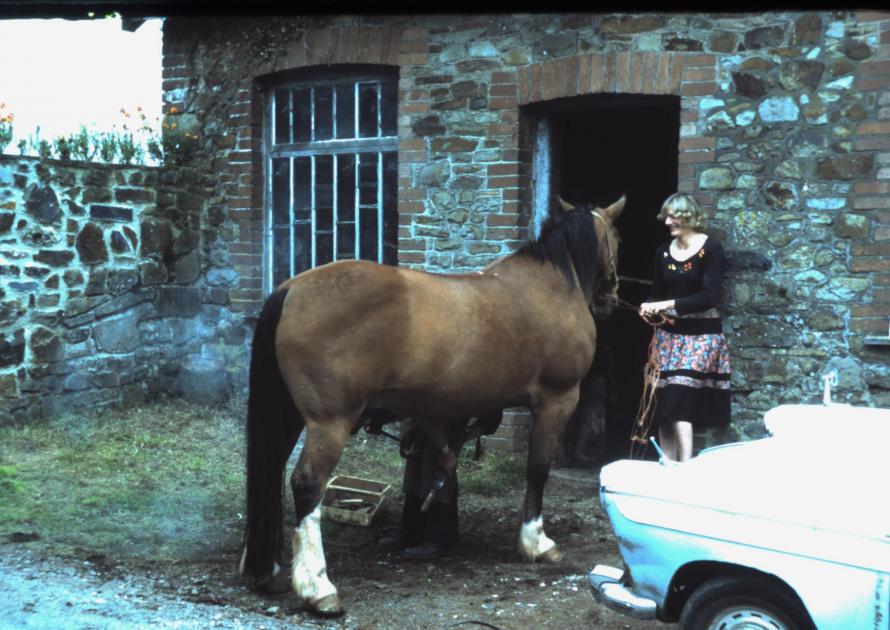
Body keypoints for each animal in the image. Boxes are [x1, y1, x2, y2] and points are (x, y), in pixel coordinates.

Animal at [239, 196, 620, 616]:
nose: (611, 295)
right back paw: (318, 588)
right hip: (330, 422)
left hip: (289, 416)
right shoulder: (558, 400)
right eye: (617, 238)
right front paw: (536, 542)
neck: (551, 286)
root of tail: (290, 289)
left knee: (272, 471)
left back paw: (268, 571)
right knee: (307, 484)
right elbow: (537, 472)